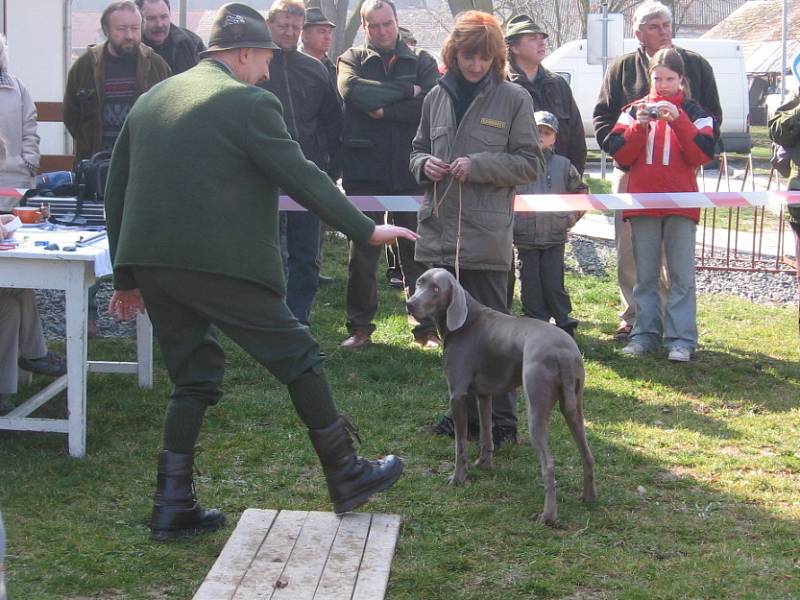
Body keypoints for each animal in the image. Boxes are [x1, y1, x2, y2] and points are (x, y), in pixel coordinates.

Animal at [410, 268, 596, 524]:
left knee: (548, 464)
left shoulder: (457, 395)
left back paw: (547, 516)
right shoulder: (484, 395)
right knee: (587, 454)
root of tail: (564, 353)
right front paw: (484, 465)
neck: (466, 321)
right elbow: (486, 434)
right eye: (420, 283)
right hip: (574, 407)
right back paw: (589, 498)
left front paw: (458, 479)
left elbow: (460, 446)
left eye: (436, 289)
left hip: (536, 407)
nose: (410, 304)